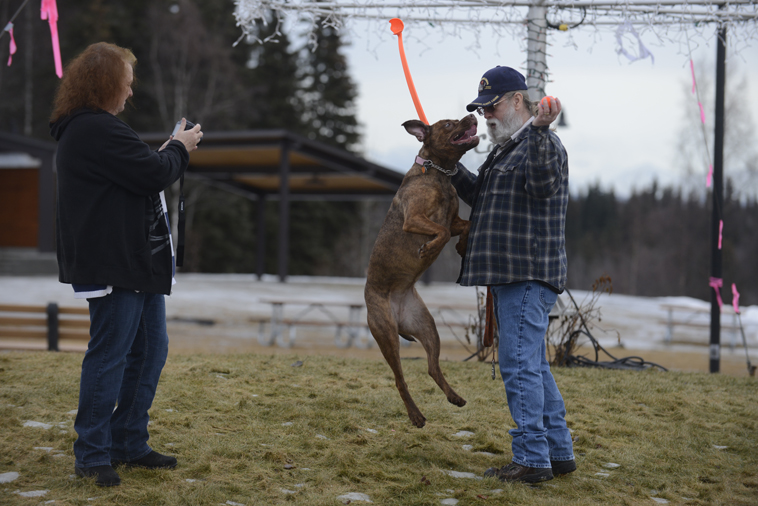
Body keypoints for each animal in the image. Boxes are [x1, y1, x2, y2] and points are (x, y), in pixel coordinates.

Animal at [364, 113, 480, 426]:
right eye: (449, 124)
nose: (472, 115)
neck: (438, 174)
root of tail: (398, 311)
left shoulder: (454, 219)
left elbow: (465, 225)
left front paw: (461, 247)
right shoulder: (415, 217)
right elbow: (440, 231)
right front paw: (429, 249)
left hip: (428, 328)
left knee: (432, 367)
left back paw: (455, 397)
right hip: (387, 335)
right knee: (400, 379)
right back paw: (416, 415)